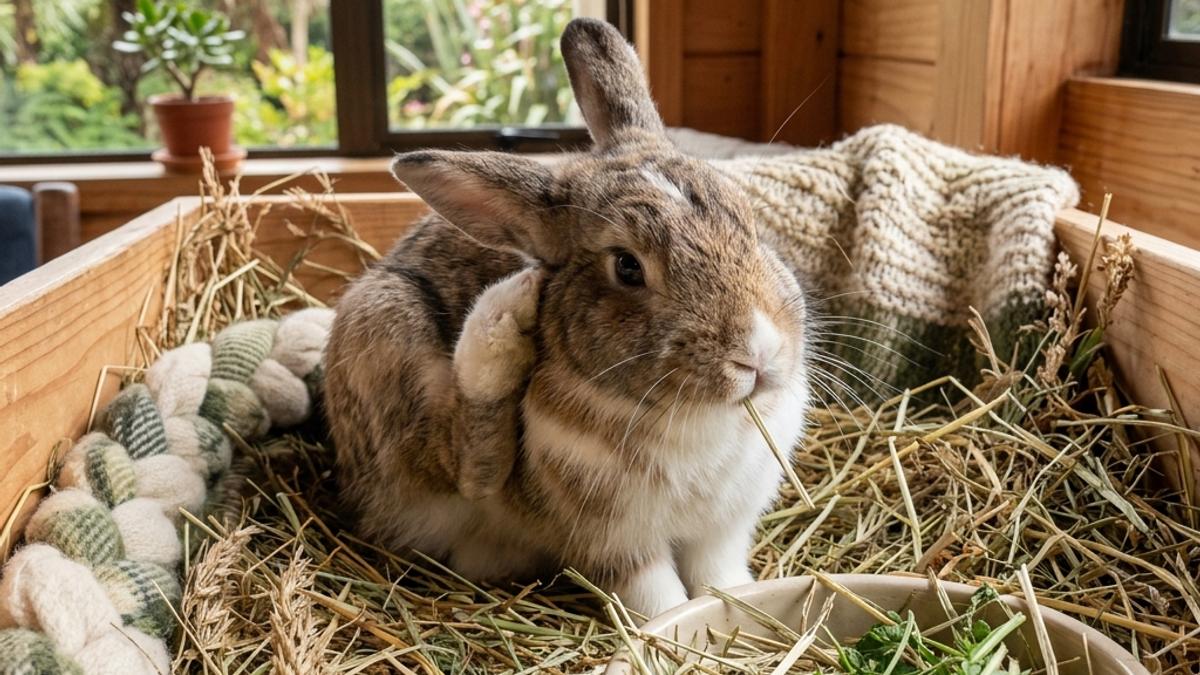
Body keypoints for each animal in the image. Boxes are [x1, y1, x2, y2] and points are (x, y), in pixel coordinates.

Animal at [323, 17, 812, 618]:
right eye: (627, 267)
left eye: (748, 219)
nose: (758, 353)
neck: (698, 415)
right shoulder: (615, 542)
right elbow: (658, 599)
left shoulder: (722, 531)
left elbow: (721, 579)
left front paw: (744, 607)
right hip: (384, 328)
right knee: (466, 466)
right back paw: (502, 320)